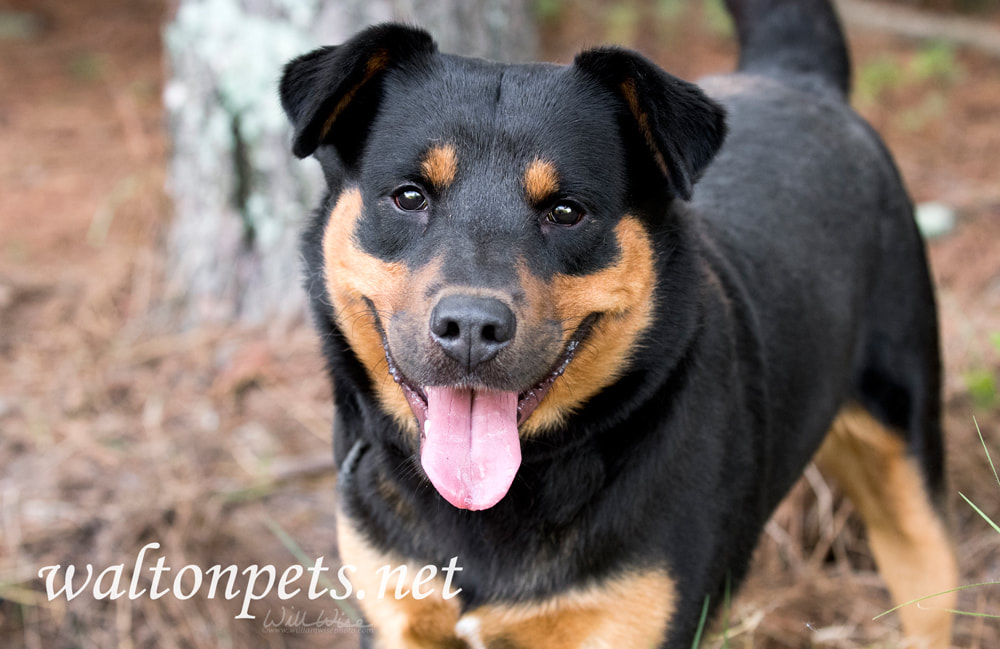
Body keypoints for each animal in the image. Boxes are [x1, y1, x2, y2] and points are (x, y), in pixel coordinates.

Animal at [278, 2, 956, 644]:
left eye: (566, 211)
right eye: (409, 196)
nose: (472, 326)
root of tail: (797, 76)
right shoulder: (394, 614)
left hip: (909, 466)